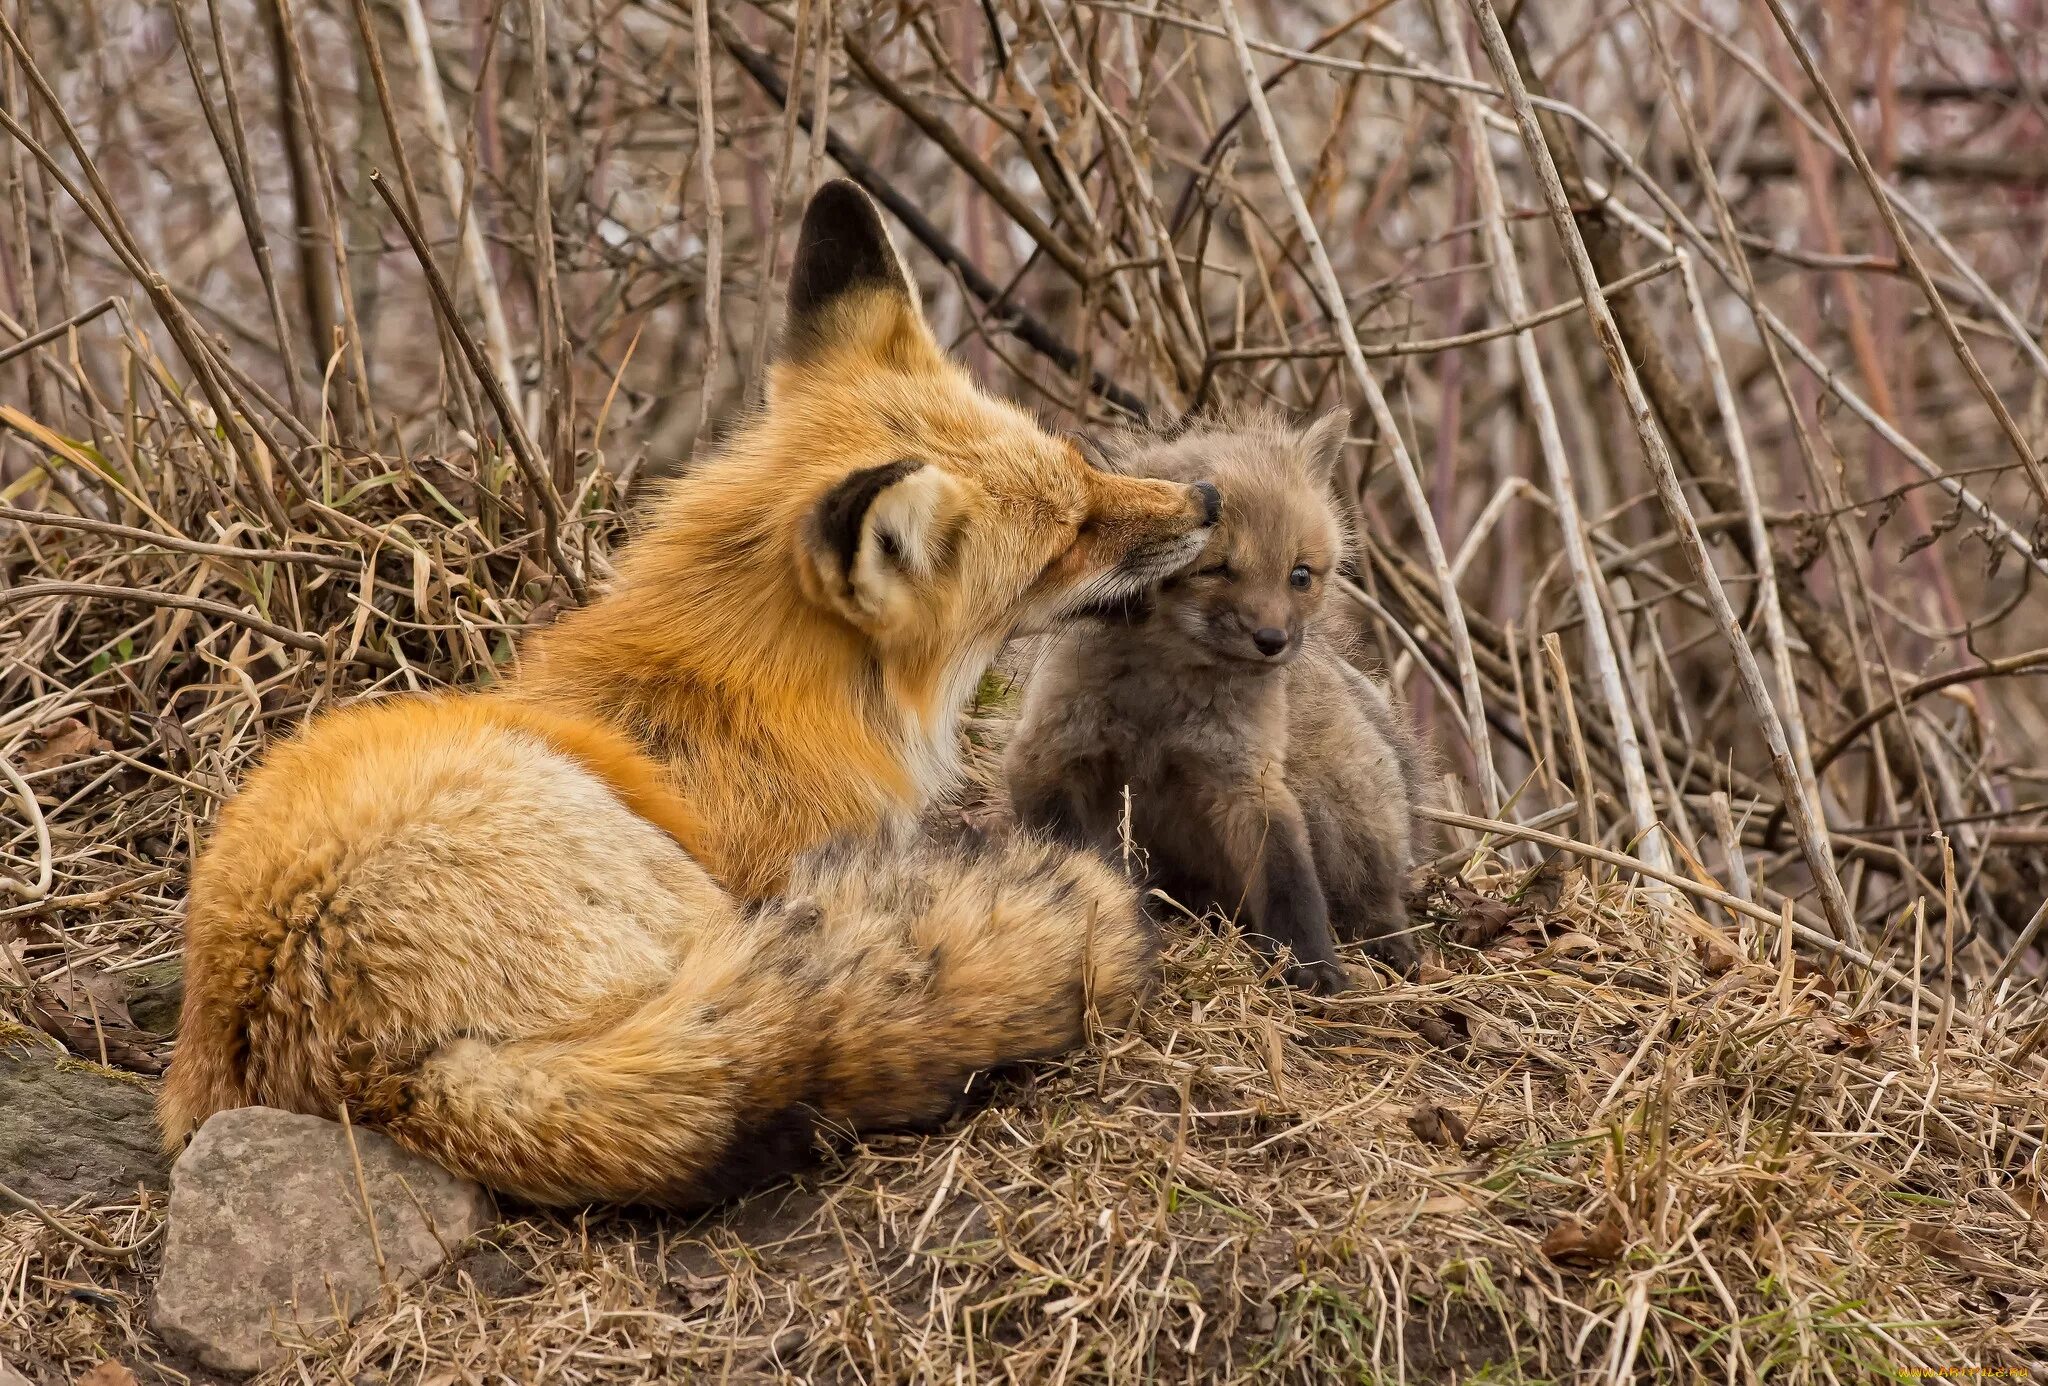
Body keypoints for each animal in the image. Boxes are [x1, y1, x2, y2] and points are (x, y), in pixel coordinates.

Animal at [163, 181, 1212, 1203]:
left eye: (1079, 462)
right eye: (1069, 537)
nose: (1204, 501)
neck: (749, 690)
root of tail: (375, 1068)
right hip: (653, 881)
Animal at [1007, 411, 1425, 994]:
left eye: (1300, 575)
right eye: (1217, 569)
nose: (1272, 641)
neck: (1160, 706)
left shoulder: (1247, 779)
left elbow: (1291, 883)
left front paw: (1313, 967)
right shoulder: (1048, 754)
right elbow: (1072, 849)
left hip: (1346, 805)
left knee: (1373, 896)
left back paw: (1388, 942)